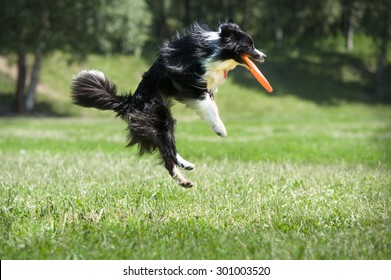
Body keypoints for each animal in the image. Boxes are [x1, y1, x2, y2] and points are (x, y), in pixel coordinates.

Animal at [71, 19, 266, 188]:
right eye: (249, 46)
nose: (263, 56)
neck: (216, 48)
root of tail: (130, 102)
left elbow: (210, 101)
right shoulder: (187, 79)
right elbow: (209, 105)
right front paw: (220, 129)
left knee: (166, 152)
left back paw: (184, 177)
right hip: (157, 115)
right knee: (167, 148)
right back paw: (184, 165)